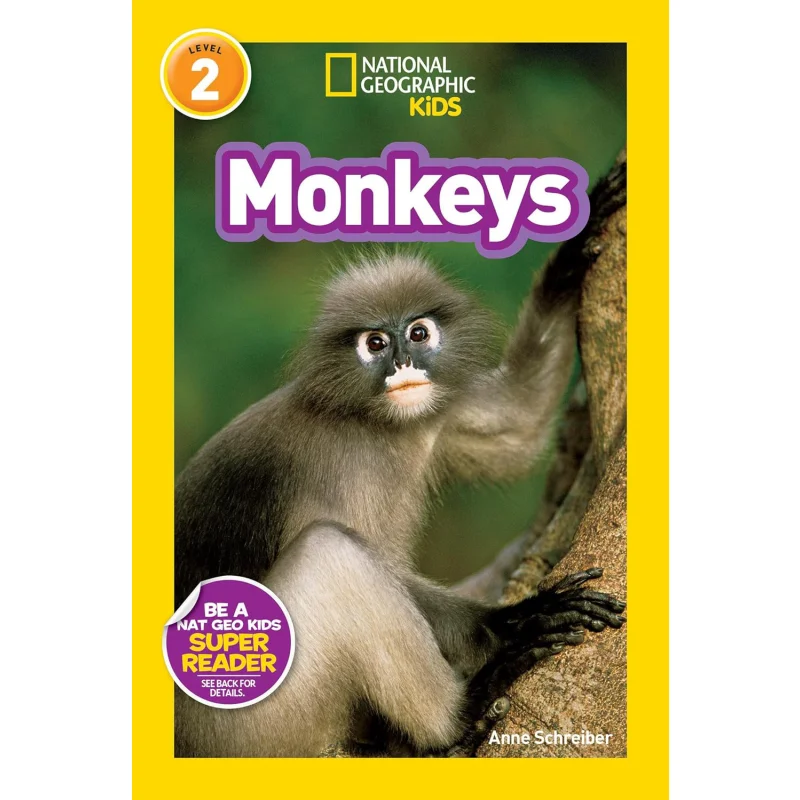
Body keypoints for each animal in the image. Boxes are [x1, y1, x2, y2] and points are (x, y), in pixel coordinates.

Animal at [174, 163, 628, 758]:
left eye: (417, 333)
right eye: (375, 343)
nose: (404, 365)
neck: (375, 426)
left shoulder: (435, 415)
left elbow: (518, 423)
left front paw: (575, 247)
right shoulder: (339, 472)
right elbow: (381, 568)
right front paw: (511, 623)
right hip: (253, 726)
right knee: (331, 555)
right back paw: (457, 719)